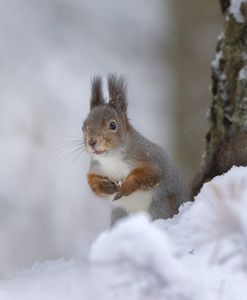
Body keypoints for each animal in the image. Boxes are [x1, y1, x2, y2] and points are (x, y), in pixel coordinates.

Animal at [82, 73, 188, 223]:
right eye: (83, 128)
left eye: (113, 125)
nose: (91, 142)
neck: (112, 158)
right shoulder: (96, 167)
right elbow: (92, 182)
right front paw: (105, 186)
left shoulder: (149, 158)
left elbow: (149, 175)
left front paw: (126, 187)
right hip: (120, 214)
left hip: (160, 206)